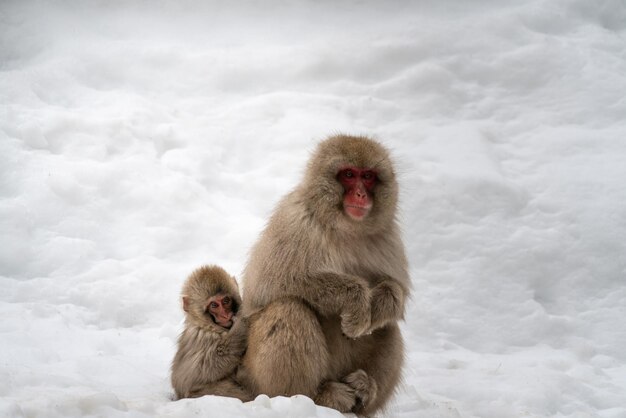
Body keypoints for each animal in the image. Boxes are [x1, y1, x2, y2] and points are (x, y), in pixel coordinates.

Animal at [171, 264, 251, 402]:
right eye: (214, 305)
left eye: (226, 301)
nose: (225, 315)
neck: (208, 326)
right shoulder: (203, 337)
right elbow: (202, 370)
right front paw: (242, 322)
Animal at [239, 136, 410, 414]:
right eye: (349, 175)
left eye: (368, 176)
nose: (361, 194)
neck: (346, 228)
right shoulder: (296, 222)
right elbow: (275, 283)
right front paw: (358, 301)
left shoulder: (388, 236)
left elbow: (396, 289)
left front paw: (381, 303)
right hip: (257, 377)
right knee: (289, 309)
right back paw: (315, 396)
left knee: (389, 328)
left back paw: (365, 389)